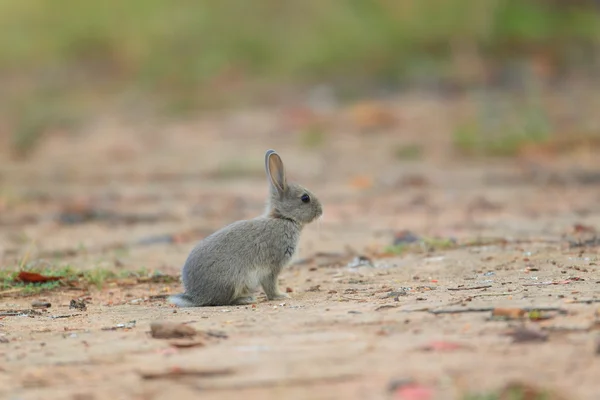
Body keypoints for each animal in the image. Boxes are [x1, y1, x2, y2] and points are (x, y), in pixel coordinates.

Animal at [169, 148, 324, 308]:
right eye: (305, 198)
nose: (321, 211)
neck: (283, 218)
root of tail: (196, 296)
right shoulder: (272, 267)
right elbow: (270, 285)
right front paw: (280, 296)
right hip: (233, 281)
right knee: (222, 301)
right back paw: (246, 299)